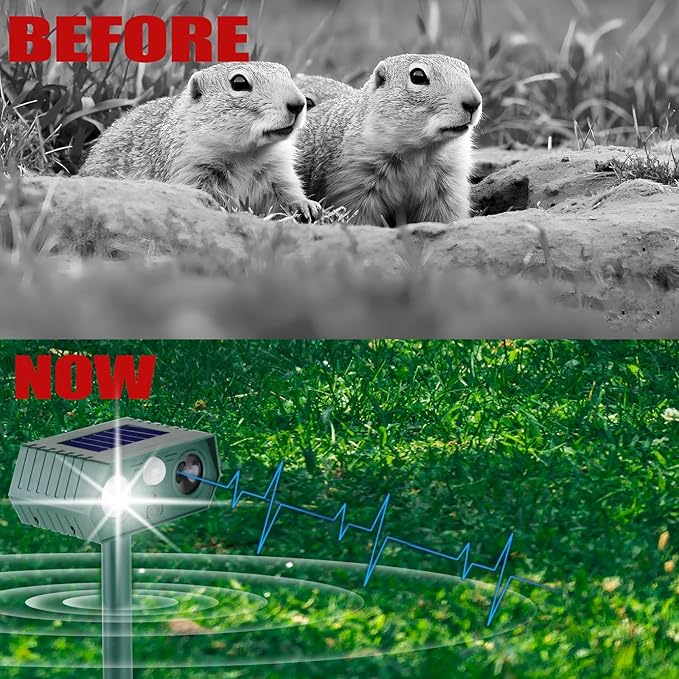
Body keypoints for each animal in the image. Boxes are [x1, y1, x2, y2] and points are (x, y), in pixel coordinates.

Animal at [80, 62, 322, 221]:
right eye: (239, 82)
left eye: (287, 74)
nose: (299, 103)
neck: (247, 155)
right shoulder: (189, 169)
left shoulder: (278, 170)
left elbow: (286, 191)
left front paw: (307, 206)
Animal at [295, 54, 482, 226]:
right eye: (418, 76)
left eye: (466, 71)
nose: (474, 102)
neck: (421, 152)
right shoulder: (354, 180)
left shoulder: (449, 185)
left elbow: (445, 215)